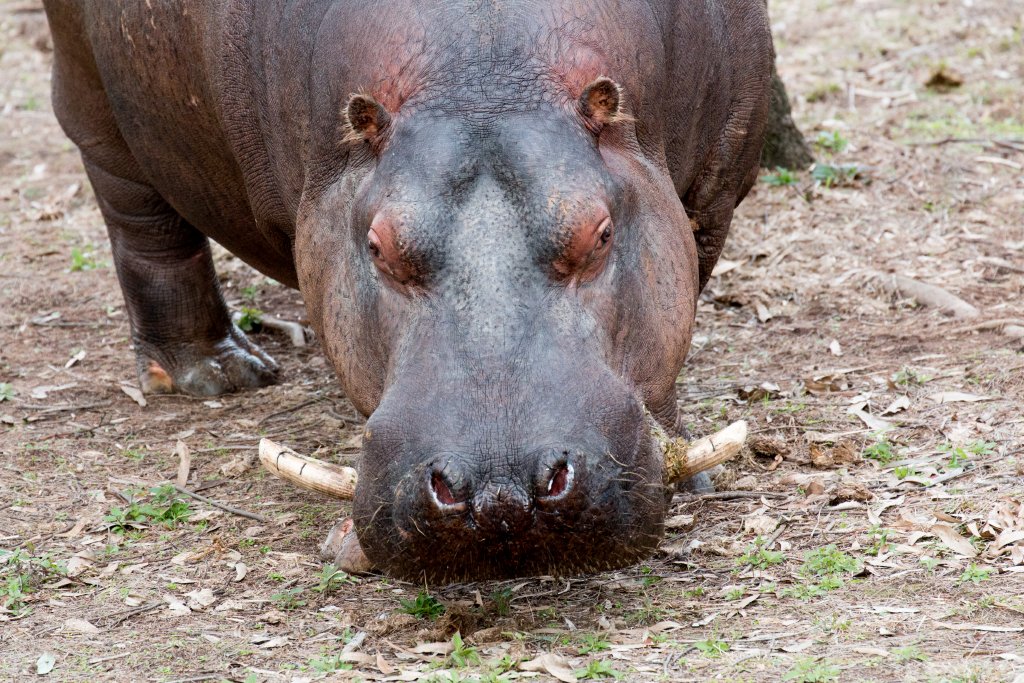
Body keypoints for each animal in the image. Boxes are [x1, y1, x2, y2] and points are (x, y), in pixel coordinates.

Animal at [43, 0, 773, 582]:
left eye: (599, 233)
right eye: (377, 246)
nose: (501, 493)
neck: (485, 74)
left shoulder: (713, 196)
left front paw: (694, 481)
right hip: (98, 115)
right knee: (147, 231)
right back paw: (220, 373)